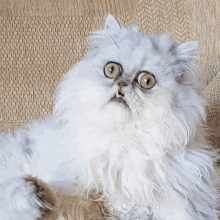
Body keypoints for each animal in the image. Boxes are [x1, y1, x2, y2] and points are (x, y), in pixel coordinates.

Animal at [0, 14, 220, 220]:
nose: (122, 85)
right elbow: (62, 198)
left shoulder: (183, 200)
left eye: (147, 81)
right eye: (112, 70)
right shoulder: (80, 192)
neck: (122, 139)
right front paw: (34, 196)